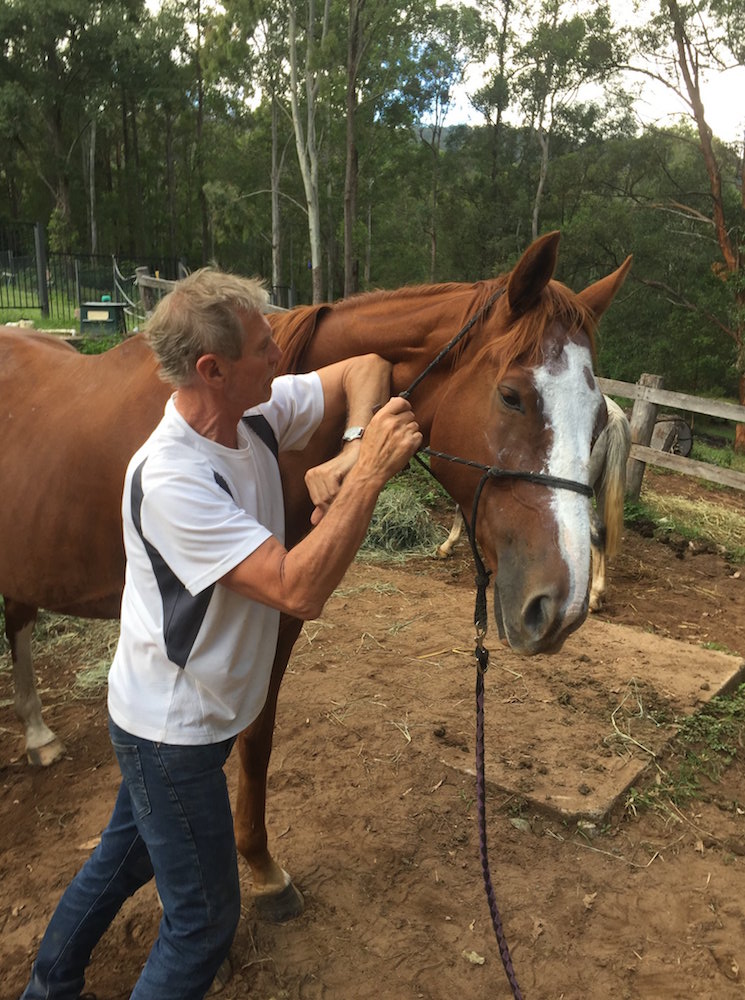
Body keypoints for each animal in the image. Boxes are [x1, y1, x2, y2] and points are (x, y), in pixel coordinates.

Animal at [0, 232, 632, 920]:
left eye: (598, 418)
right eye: (512, 394)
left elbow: (257, 736)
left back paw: (37, 734)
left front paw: (260, 866)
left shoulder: (279, 622)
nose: (562, 606)